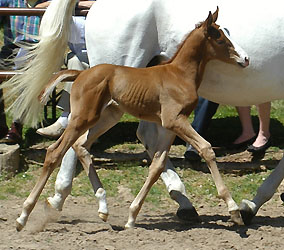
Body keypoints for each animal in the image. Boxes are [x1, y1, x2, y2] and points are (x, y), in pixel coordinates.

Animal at [16, 10, 246, 231]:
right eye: (220, 39)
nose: (245, 59)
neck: (179, 74)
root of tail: (80, 73)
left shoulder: (170, 125)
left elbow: (157, 165)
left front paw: (132, 216)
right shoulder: (175, 120)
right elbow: (206, 148)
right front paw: (233, 209)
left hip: (108, 115)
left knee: (81, 145)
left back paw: (103, 207)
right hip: (83, 117)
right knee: (55, 152)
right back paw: (23, 216)